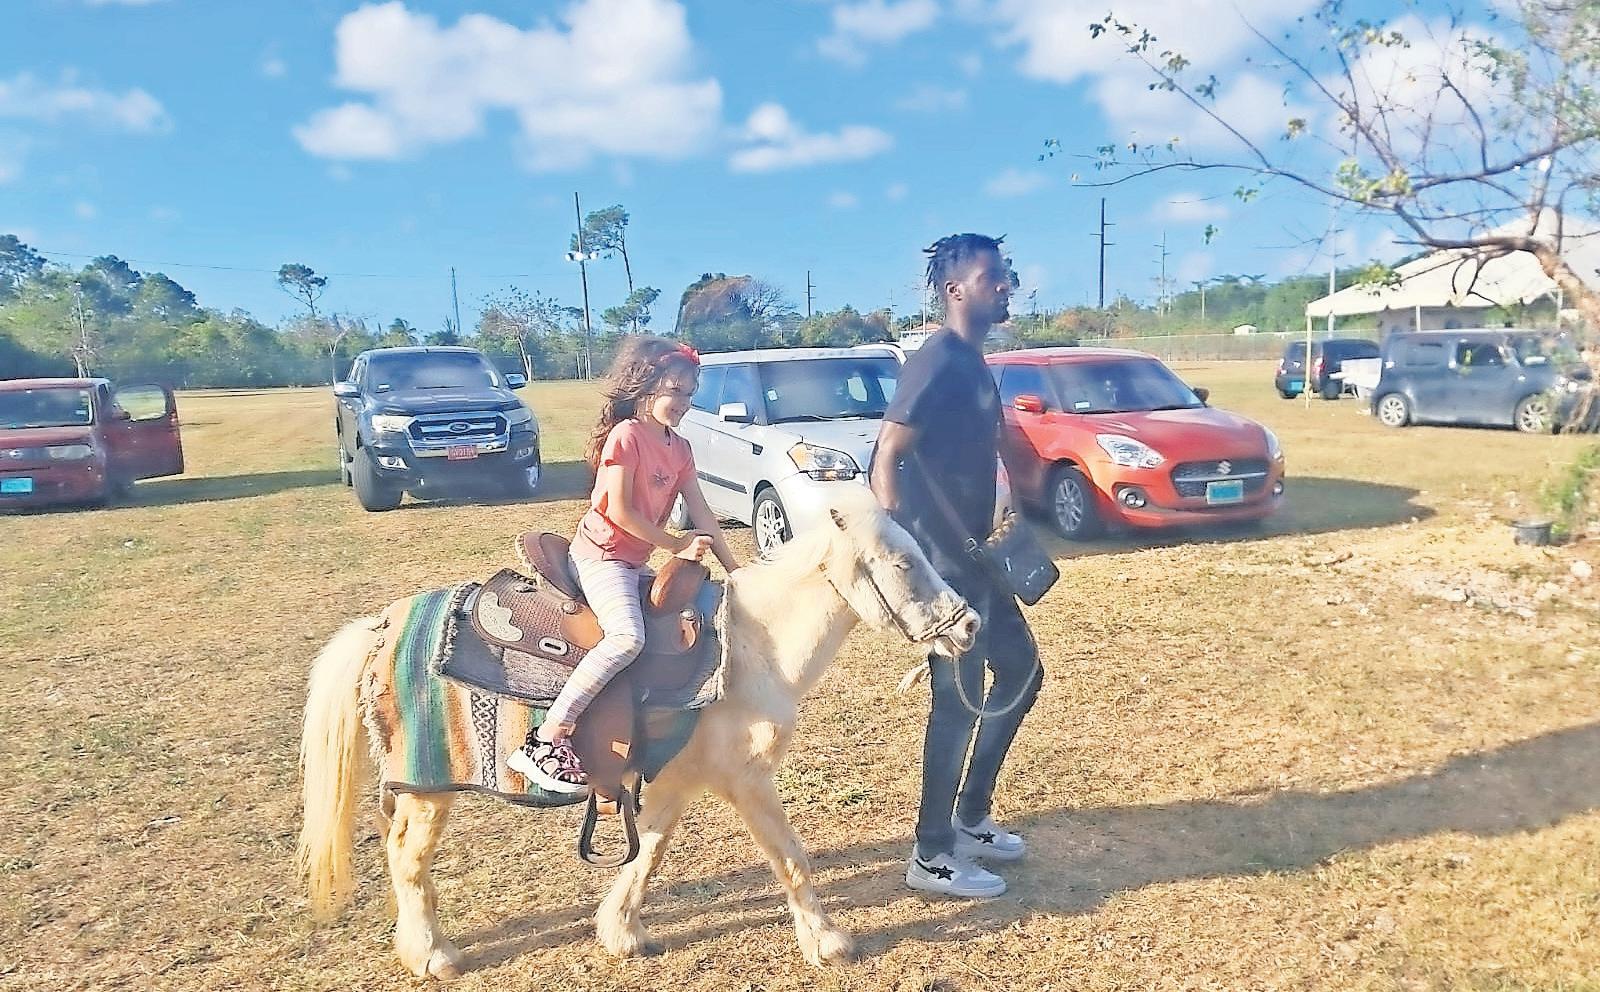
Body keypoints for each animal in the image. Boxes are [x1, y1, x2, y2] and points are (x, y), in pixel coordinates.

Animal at [297, 487, 982, 978]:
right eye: (903, 562)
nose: (969, 624)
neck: (754, 650)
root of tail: (382, 626)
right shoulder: (747, 781)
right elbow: (791, 856)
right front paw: (829, 941)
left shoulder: (677, 781)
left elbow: (648, 851)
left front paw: (620, 932)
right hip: (428, 788)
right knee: (407, 858)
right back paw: (432, 955)